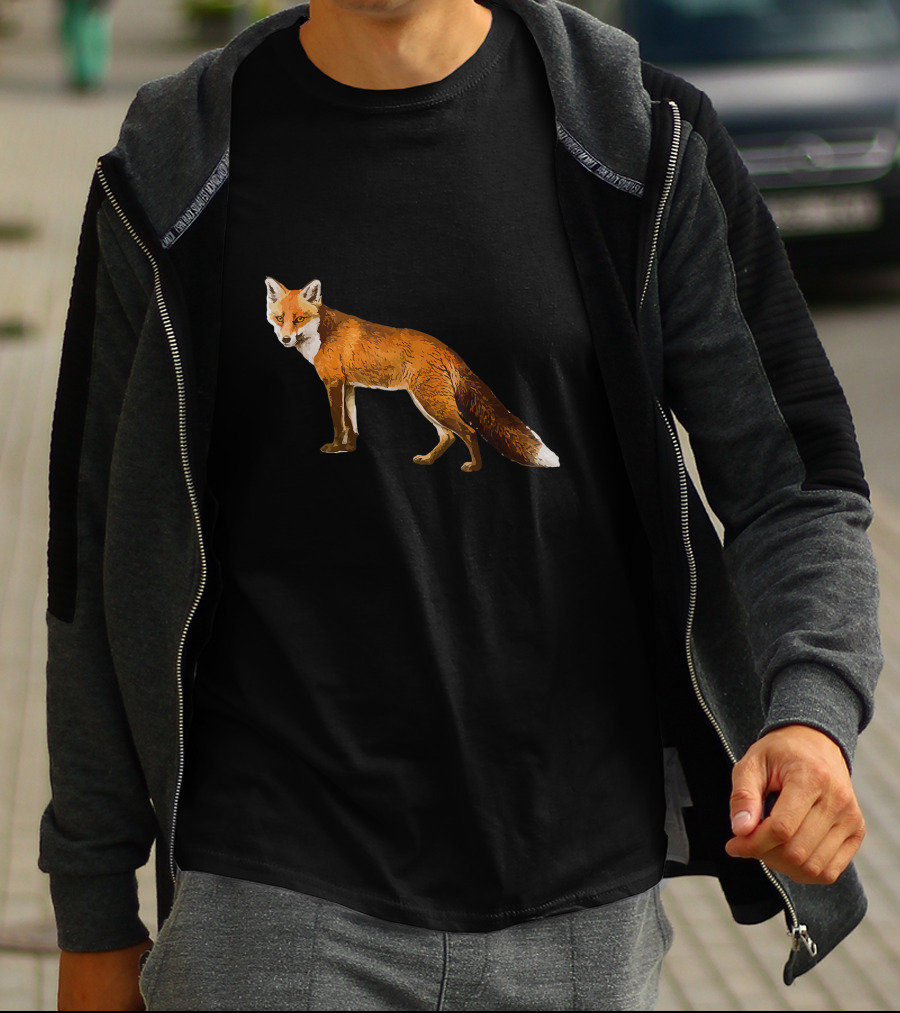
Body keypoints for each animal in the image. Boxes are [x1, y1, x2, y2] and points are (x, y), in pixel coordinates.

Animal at [264, 277, 560, 473]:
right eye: (279, 319)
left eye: (299, 319)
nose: (286, 339)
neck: (322, 334)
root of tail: (446, 348)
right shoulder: (348, 386)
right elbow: (353, 424)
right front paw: (349, 449)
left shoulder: (334, 383)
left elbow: (339, 423)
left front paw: (335, 447)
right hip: (425, 402)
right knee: (448, 436)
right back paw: (428, 461)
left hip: (432, 402)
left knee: (468, 431)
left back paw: (473, 467)